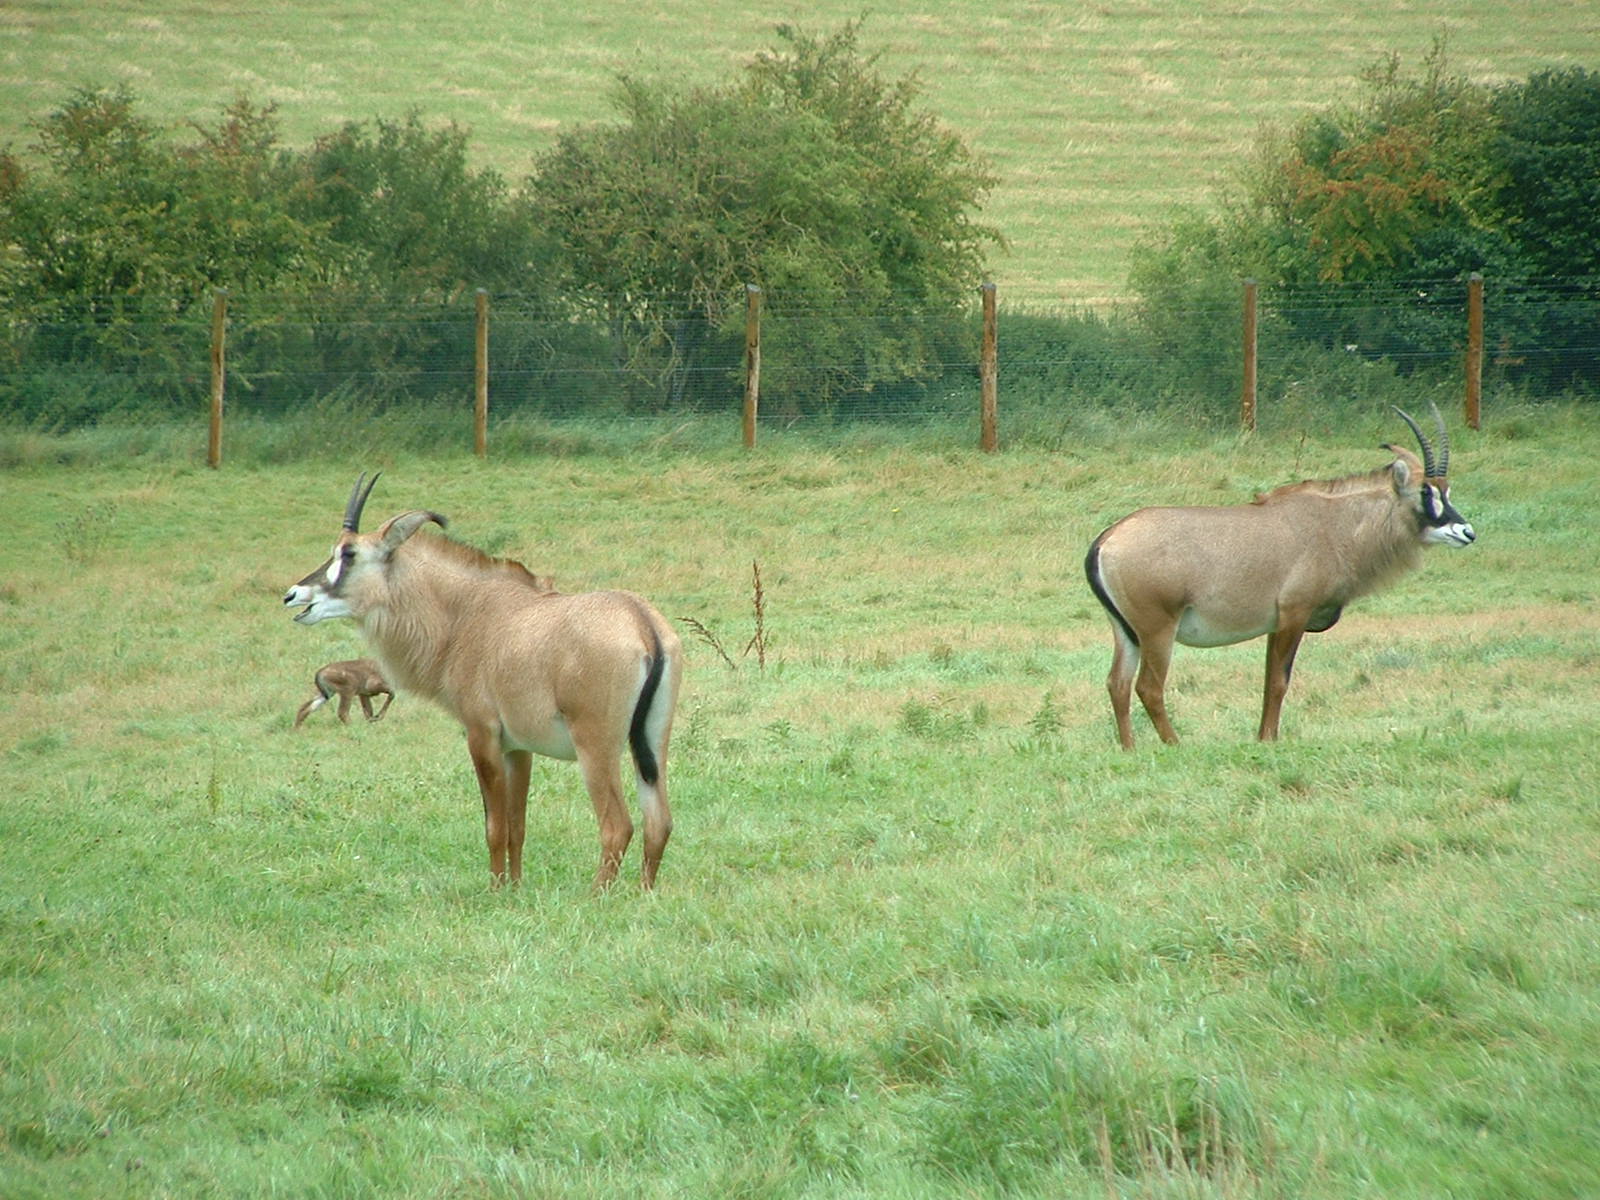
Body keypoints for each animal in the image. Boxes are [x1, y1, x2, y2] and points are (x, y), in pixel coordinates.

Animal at [283, 474, 682, 889]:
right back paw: (643, 893)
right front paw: (516, 887)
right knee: (659, 822)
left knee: (617, 825)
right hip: (650, 744)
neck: (467, 613)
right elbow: (517, 826)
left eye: (349, 553)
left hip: (595, 746)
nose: (293, 595)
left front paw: (496, 890)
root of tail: (641, 622)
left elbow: (494, 826)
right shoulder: (518, 749)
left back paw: (596, 895)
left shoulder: (481, 735)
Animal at [1084, 405, 1475, 748]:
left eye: (1447, 491)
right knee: (1148, 687)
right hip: (1157, 630)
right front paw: (1270, 740)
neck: (1334, 525)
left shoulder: (1275, 625)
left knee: (1118, 684)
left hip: (1127, 631)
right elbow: (1278, 682)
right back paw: (1175, 744)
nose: (1467, 532)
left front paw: (1262, 737)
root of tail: (1107, 539)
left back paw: (1129, 748)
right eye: (1425, 492)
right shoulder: (1294, 616)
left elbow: (1267, 681)